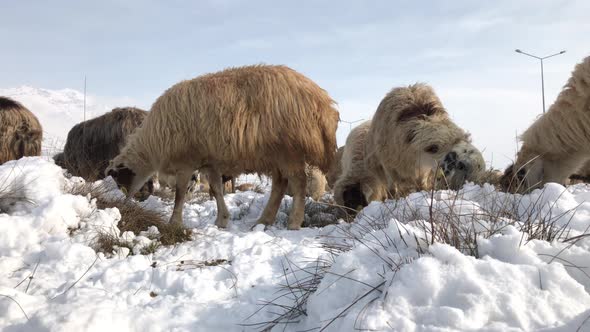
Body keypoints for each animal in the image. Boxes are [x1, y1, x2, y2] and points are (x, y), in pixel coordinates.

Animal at [104, 65, 340, 231]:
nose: (126, 203)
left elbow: (180, 194)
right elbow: (216, 189)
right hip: (276, 153)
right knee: (280, 184)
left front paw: (174, 222)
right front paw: (222, 220)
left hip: (289, 148)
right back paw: (263, 221)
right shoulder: (209, 162)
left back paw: (293, 222)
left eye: (118, 178)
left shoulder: (186, 162)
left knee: (298, 183)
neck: (153, 143)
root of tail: (321, 100)